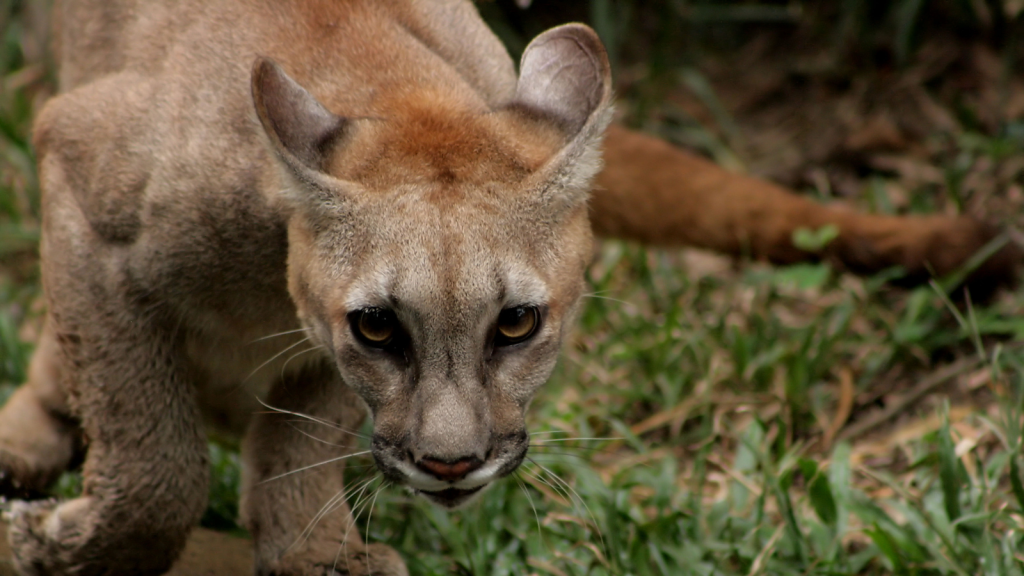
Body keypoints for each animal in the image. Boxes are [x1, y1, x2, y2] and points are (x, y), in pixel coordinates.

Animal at [0, 1, 1011, 573]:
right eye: (380, 328)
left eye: (516, 324)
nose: (453, 463)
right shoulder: (77, 172)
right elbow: (154, 450)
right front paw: (65, 548)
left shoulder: (315, 348)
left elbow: (303, 435)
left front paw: (312, 556)